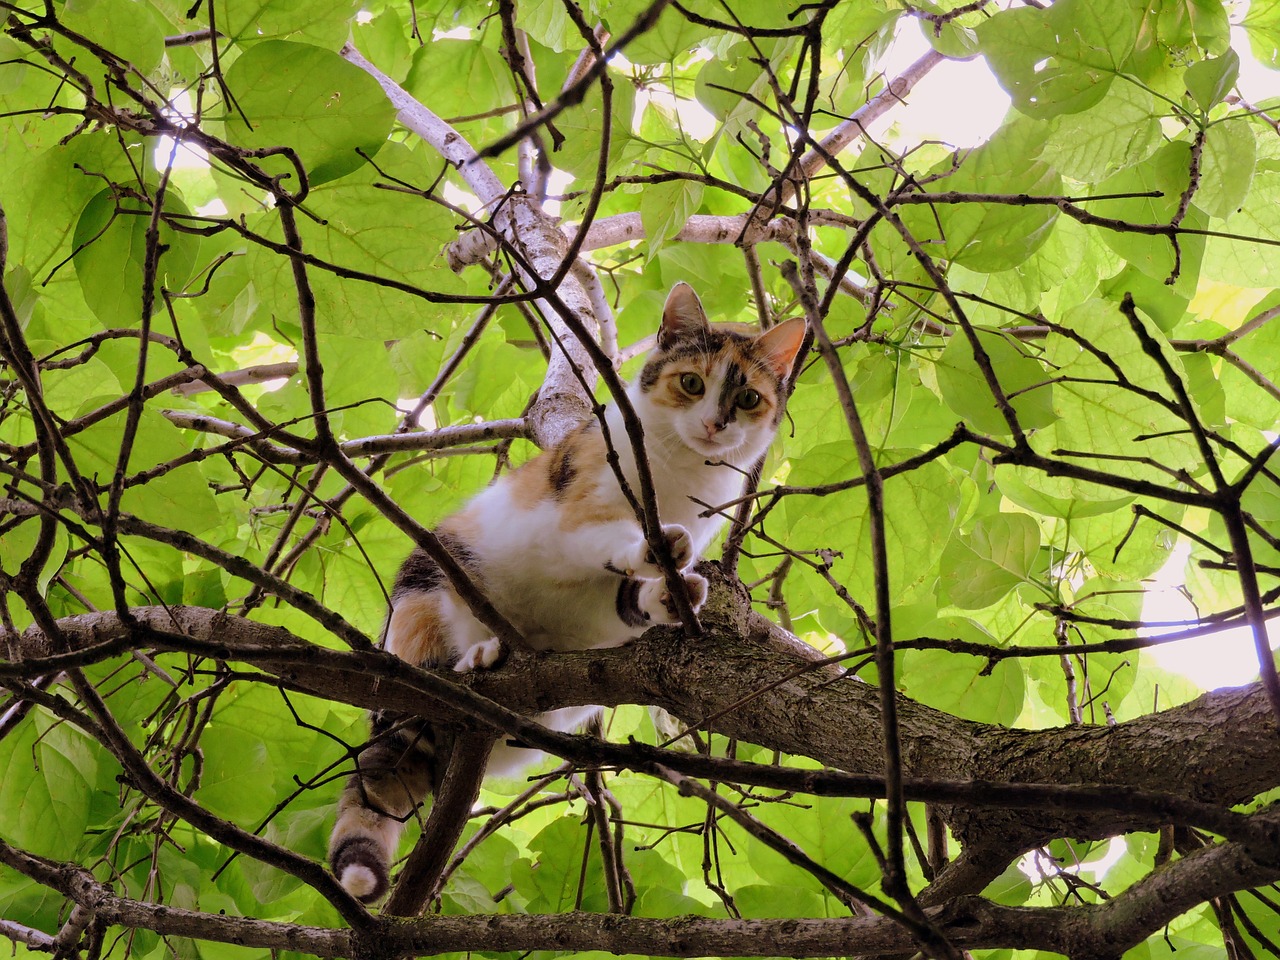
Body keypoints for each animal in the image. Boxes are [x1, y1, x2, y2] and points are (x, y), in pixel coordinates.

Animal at [327, 281, 798, 906]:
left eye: (747, 398)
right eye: (692, 383)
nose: (716, 425)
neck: (680, 474)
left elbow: (625, 601)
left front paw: (672, 597)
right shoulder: (578, 505)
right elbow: (607, 534)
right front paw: (655, 546)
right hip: (426, 576)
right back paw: (480, 656)